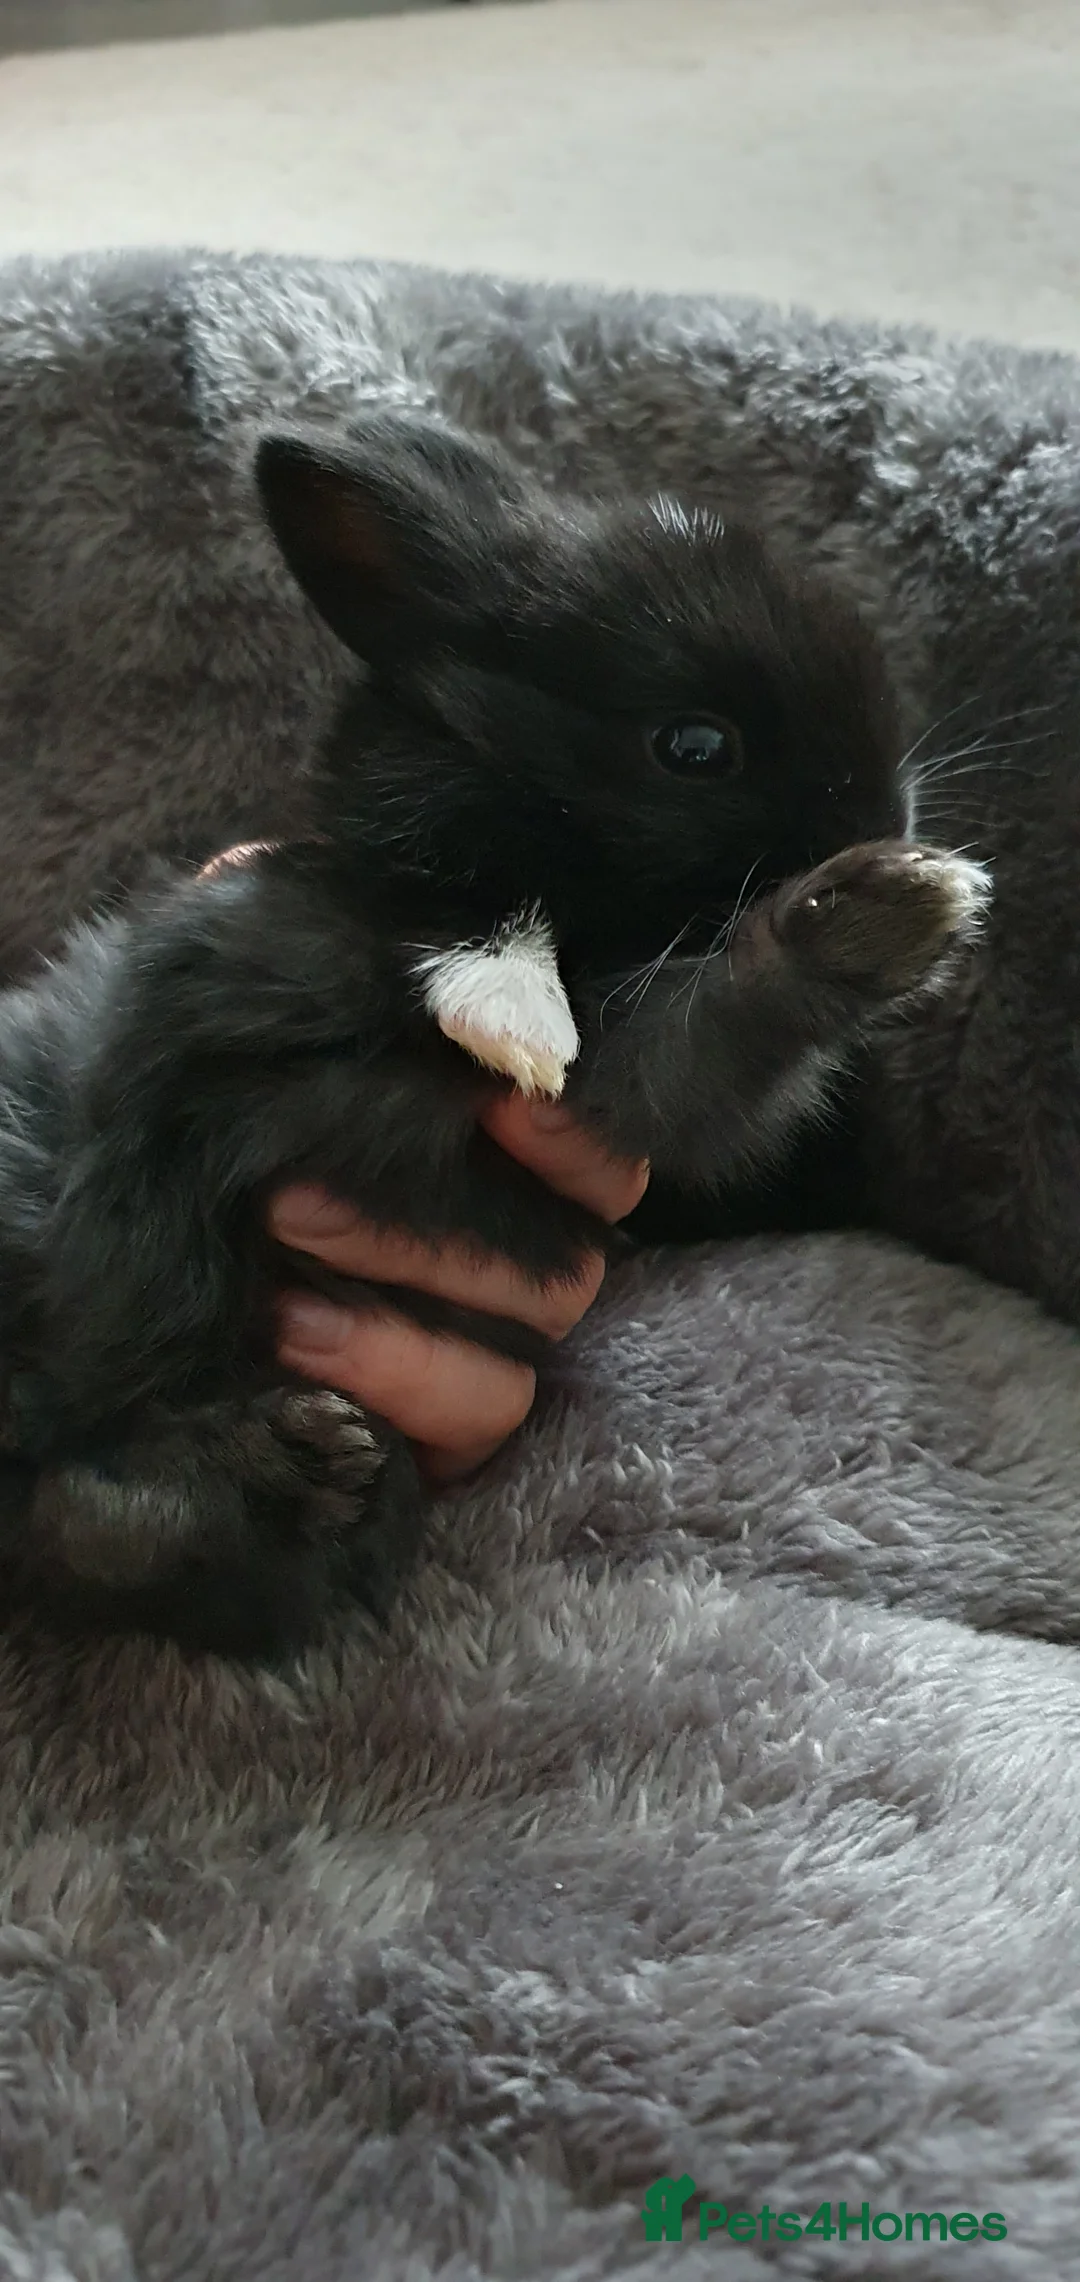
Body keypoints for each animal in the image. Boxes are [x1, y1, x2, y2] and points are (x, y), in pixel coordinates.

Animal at [0, 413, 988, 1656]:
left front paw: (905, 906)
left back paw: (301, 1462)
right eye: (695, 745)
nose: (886, 821)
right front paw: (894, 908)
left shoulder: (597, 1094)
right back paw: (284, 1455)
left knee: (100, 1518)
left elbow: (689, 1049)